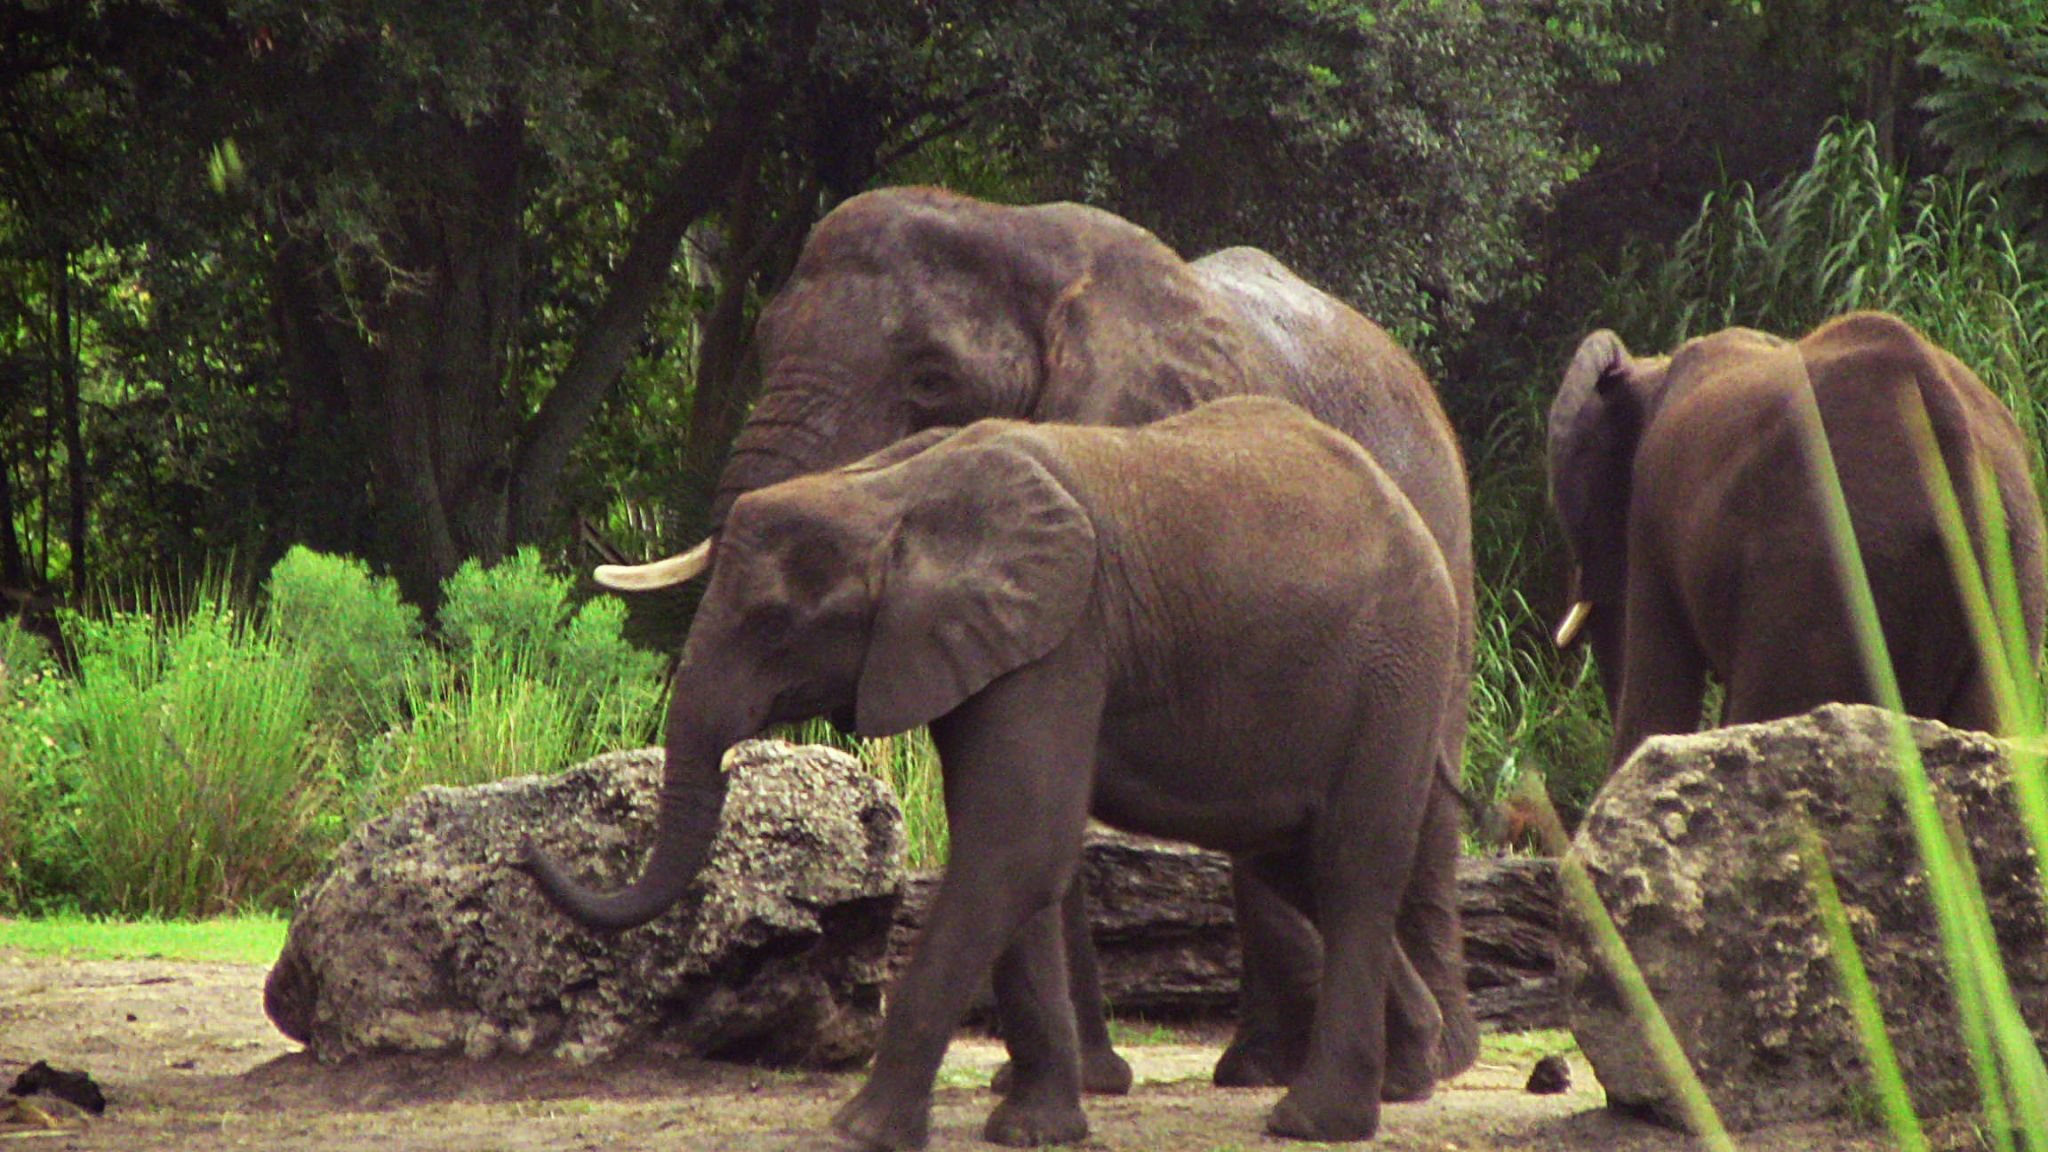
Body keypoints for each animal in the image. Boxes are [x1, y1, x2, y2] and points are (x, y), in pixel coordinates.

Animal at [523, 397, 1463, 1147]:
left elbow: (1015, 845)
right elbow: (1016, 854)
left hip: (1399, 667)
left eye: (774, 624)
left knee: (1351, 865)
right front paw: (1034, 1130)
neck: (891, 493)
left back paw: (1315, 1121)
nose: (534, 851)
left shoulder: (1062, 634)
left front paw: (860, 1130)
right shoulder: (976, 646)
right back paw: (1410, 1076)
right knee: (1291, 862)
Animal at [598, 185, 1478, 1095]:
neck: (1021, 234)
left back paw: (1424, 1064)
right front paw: (1073, 1081)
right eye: (767, 344)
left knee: (1419, 792)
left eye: (931, 378)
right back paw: (1261, 1067)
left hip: (1438, 545)